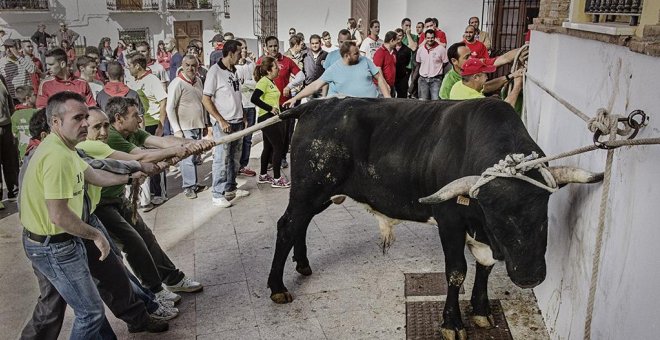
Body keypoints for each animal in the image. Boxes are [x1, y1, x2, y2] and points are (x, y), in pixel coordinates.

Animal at [266, 97, 600, 338]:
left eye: (543, 211)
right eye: (495, 214)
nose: (529, 276)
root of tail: (316, 104)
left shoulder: (480, 235)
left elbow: (485, 265)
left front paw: (481, 311)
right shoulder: (450, 221)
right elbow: (456, 272)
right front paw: (452, 324)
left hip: (318, 195)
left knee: (301, 225)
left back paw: (303, 264)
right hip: (308, 189)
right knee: (287, 226)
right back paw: (278, 287)